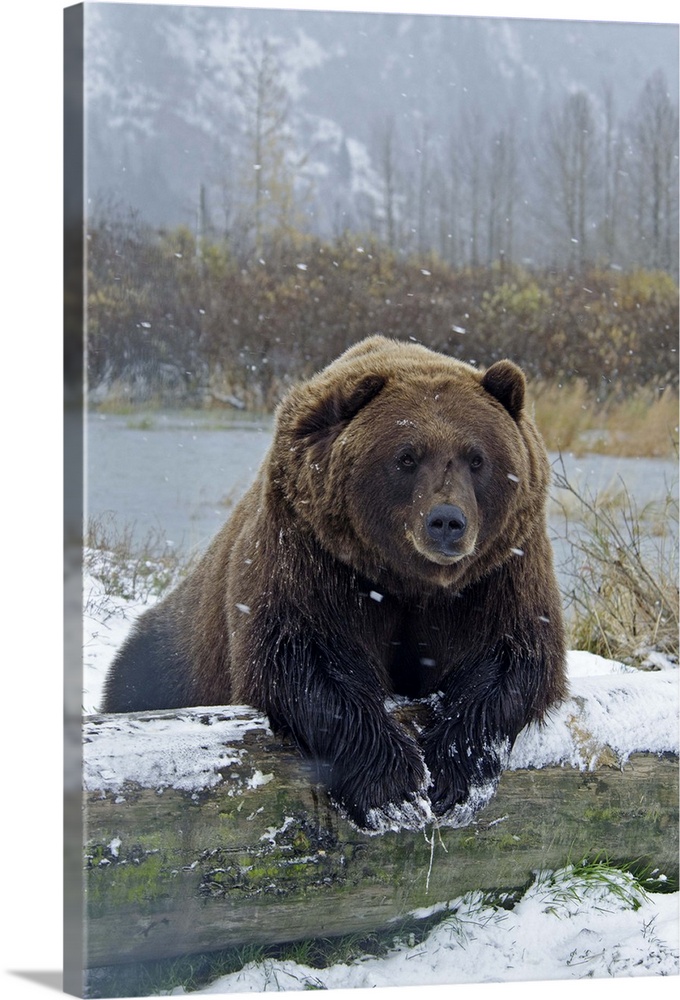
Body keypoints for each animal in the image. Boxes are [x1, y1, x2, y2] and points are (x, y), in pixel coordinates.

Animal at [102, 340, 568, 832]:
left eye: (476, 458)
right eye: (406, 456)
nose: (446, 521)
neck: (407, 581)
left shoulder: (497, 570)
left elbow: (511, 655)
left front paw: (451, 775)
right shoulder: (313, 551)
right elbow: (305, 657)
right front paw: (393, 788)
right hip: (171, 657)